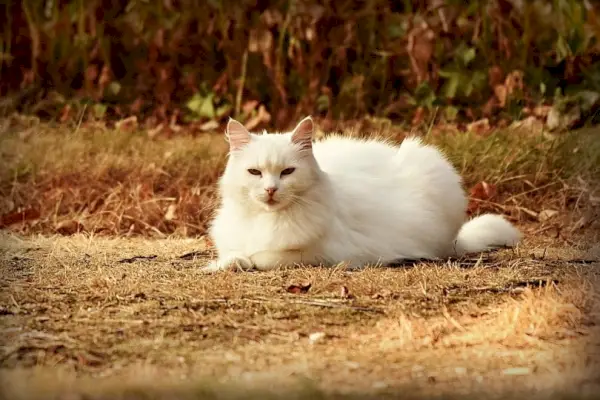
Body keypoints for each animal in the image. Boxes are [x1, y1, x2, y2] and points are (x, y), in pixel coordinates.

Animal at [202, 115, 520, 272]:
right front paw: (225, 263)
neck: (265, 220)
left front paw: (240, 262)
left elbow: (264, 256)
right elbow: (233, 253)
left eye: (287, 172)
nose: (270, 190)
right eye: (255, 173)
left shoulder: (321, 252)